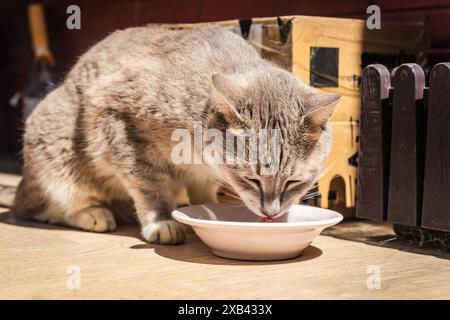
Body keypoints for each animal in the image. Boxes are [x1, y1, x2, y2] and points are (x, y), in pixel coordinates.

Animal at [10, 26, 340, 244]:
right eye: (252, 179)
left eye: (295, 182)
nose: (271, 214)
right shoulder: (120, 122)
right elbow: (149, 187)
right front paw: (161, 221)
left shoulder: (202, 173)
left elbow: (203, 191)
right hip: (54, 145)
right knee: (43, 206)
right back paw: (94, 212)